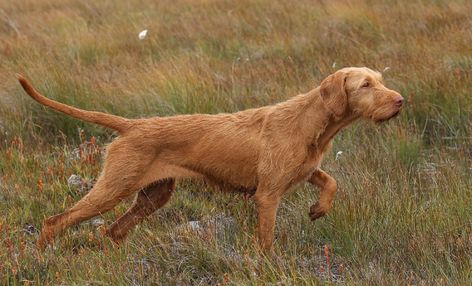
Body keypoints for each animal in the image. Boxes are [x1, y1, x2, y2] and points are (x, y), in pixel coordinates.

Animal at [16, 67, 404, 250]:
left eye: (379, 80)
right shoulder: (268, 195)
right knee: (55, 221)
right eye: (365, 85)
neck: (312, 121)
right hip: (114, 188)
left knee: (113, 230)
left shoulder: (306, 170)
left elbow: (330, 181)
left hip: (154, 195)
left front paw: (319, 209)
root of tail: (133, 124)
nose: (400, 100)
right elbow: (266, 241)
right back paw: (41, 256)